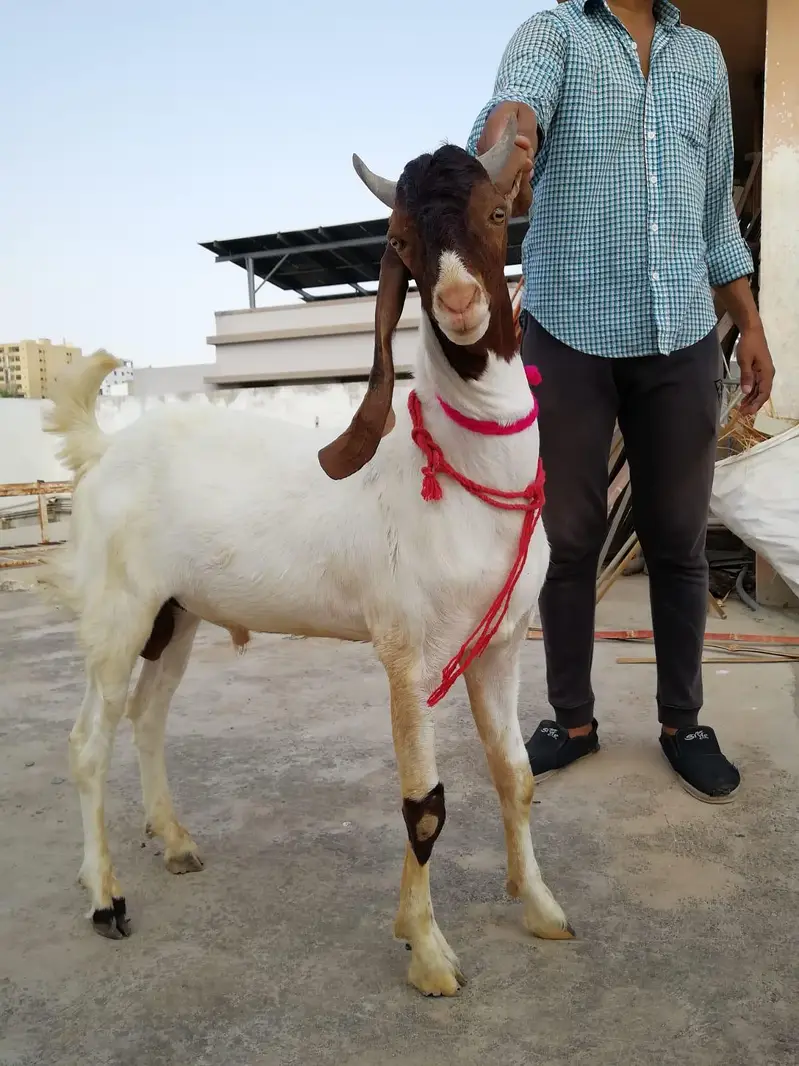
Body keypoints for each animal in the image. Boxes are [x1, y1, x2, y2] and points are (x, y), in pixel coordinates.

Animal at [40, 116, 572, 996]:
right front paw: (428, 954)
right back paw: (105, 897)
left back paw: (174, 840)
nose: (460, 303)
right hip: (119, 611)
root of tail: (105, 447)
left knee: (148, 717)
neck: (455, 475)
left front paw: (538, 907)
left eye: (499, 216)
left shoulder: (500, 645)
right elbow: (424, 804)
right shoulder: (406, 652)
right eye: (401, 240)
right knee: (89, 741)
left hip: (176, 614)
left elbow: (516, 775)